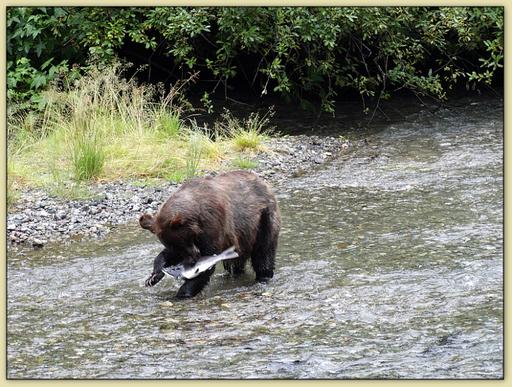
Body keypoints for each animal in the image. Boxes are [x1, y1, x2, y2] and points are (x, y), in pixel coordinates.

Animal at [139, 171, 280, 300]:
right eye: (177, 246)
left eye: (185, 241)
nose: (193, 259)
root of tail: (264, 183)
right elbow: (166, 255)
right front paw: (153, 277)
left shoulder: (212, 225)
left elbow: (207, 262)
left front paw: (181, 294)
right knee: (234, 264)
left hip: (263, 220)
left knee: (263, 253)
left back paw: (263, 277)